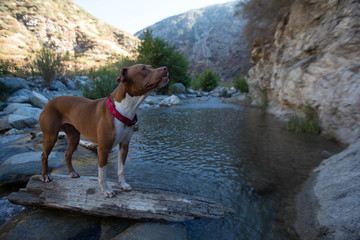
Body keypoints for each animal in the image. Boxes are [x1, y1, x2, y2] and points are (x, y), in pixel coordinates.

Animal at [39, 63, 169, 197]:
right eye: (143, 69)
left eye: (150, 66)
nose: (165, 68)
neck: (125, 108)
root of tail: (49, 102)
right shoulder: (103, 148)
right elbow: (102, 173)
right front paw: (106, 190)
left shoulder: (124, 145)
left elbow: (121, 169)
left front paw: (123, 184)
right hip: (50, 136)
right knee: (44, 155)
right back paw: (45, 176)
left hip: (74, 138)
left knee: (67, 154)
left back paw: (72, 173)